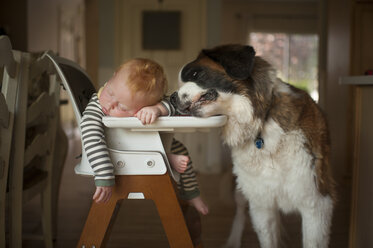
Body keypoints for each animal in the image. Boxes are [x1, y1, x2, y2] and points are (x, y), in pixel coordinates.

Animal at [170, 44, 336, 248]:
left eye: (195, 73)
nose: (172, 97)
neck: (261, 123)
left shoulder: (316, 202)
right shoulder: (261, 203)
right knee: (240, 212)